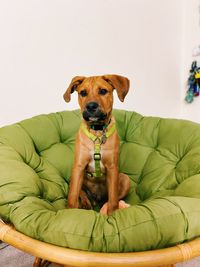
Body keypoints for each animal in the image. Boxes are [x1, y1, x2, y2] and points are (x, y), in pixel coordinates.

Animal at [63, 75, 130, 216]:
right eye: (83, 93)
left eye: (103, 91)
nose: (91, 106)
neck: (98, 132)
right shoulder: (78, 166)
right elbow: (72, 197)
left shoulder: (112, 168)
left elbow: (113, 200)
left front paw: (112, 215)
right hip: (73, 174)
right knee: (81, 192)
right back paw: (85, 203)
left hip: (125, 178)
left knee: (112, 198)